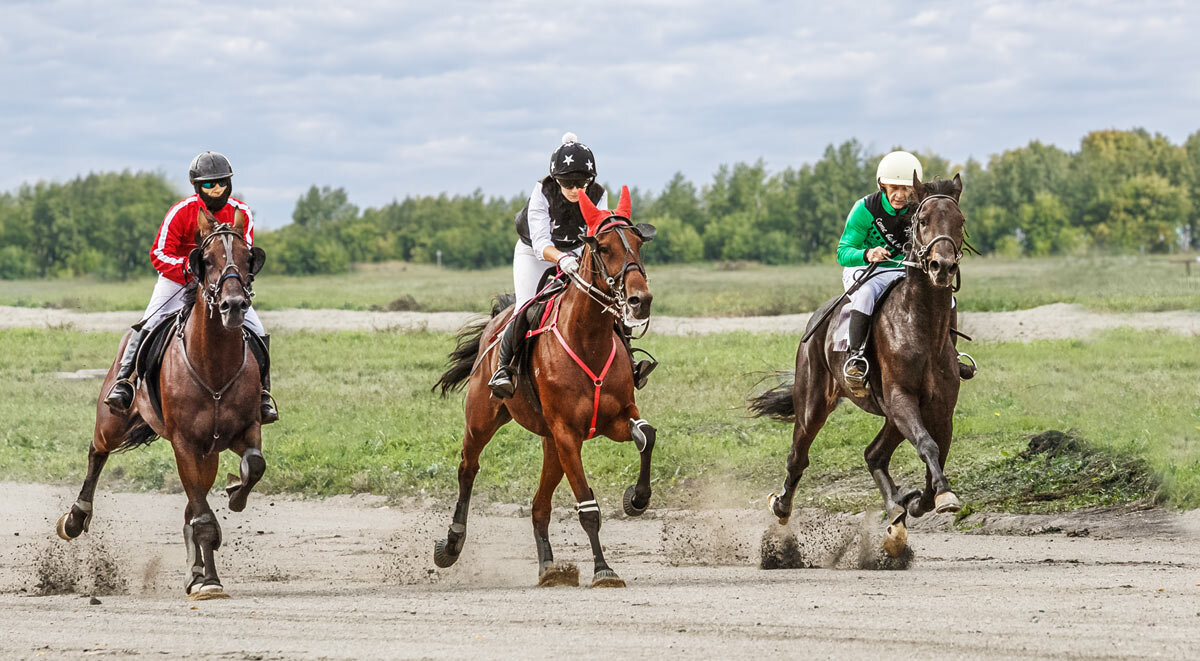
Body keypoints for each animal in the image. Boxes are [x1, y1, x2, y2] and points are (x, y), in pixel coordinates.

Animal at [56, 209, 270, 602]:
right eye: (207, 259)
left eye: (248, 257)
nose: (234, 305)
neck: (214, 367)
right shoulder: (184, 443)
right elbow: (203, 518)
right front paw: (208, 578)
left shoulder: (244, 431)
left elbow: (252, 468)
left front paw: (235, 494)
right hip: (112, 423)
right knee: (96, 452)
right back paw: (76, 518)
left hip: (207, 454)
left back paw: (197, 571)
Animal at [432, 184, 657, 590]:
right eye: (603, 248)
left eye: (637, 243)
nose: (640, 300)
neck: (588, 339)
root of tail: (497, 320)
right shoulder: (568, 433)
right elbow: (587, 507)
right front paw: (604, 569)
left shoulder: (613, 419)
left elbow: (646, 434)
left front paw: (636, 498)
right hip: (483, 420)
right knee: (468, 468)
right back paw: (451, 545)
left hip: (550, 444)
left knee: (539, 506)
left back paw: (550, 567)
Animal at [753, 172, 969, 556]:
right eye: (923, 221)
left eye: (959, 222)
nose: (942, 267)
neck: (922, 328)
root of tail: (818, 319)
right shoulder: (900, 399)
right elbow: (928, 447)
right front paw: (938, 497)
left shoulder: (939, 410)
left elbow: (935, 458)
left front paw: (919, 499)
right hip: (813, 404)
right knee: (798, 456)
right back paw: (781, 506)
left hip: (891, 419)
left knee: (873, 455)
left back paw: (897, 506)